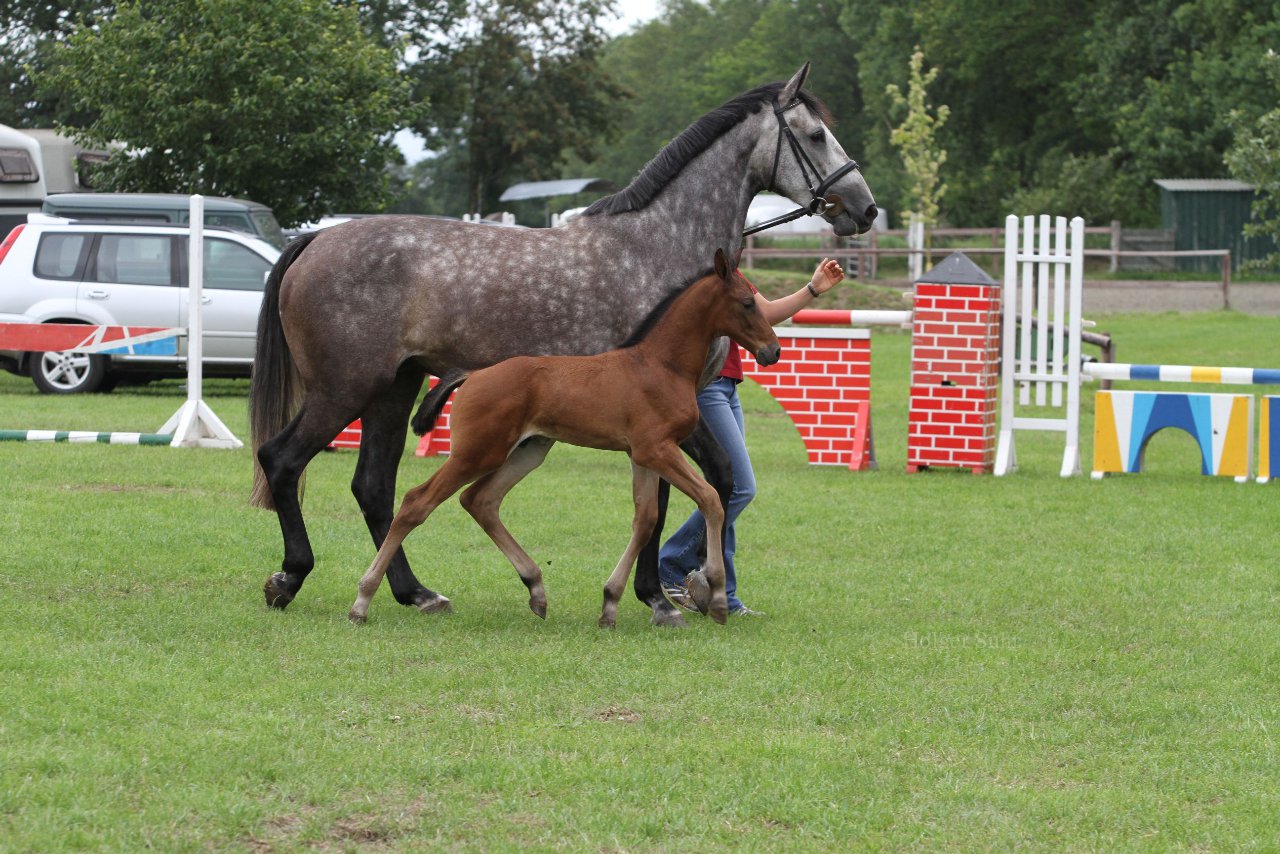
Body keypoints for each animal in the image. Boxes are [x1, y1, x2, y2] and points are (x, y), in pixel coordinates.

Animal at [348, 248, 778, 627]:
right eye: (747, 303)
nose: (772, 351)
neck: (660, 365)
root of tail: (473, 374)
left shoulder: (642, 455)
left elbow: (646, 519)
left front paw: (610, 604)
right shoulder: (657, 449)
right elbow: (710, 499)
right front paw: (716, 595)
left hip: (528, 450)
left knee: (480, 500)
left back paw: (536, 589)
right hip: (476, 453)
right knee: (416, 502)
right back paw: (366, 600)